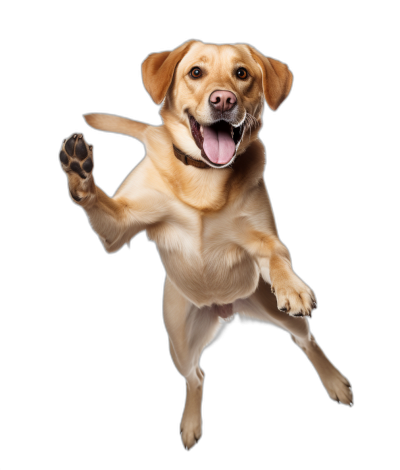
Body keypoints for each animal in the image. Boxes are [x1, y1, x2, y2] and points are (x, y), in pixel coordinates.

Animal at [57, 40, 352, 452]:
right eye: (195, 72)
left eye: (242, 73)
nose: (224, 99)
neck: (204, 179)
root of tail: (226, 307)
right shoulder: (118, 229)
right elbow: (98, 202)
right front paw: (79, 170)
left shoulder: (264, 239)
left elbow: (278, 254)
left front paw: (292, 286)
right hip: (179, 341)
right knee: (195, 376)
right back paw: (190, 424)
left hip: (268, 305)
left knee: (304, 339)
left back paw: (335, 382)